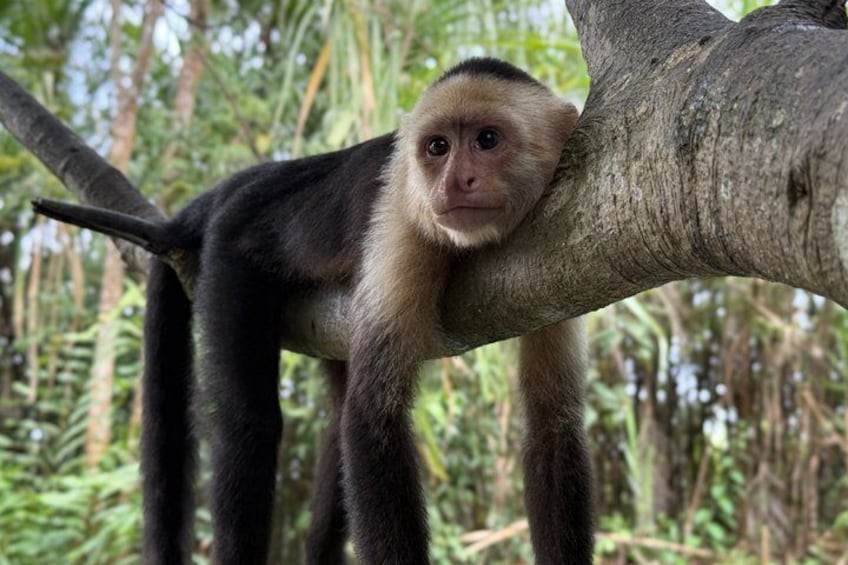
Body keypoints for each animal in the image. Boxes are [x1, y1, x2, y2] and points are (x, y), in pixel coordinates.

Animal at [33, 57, 592, 564]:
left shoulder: (550, 247)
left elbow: (551, 422)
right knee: (251, 423)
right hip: (230, 254)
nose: (454, 182)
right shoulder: (405, 227)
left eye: (487, 140)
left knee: (334, 423)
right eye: (438, 148)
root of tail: (248, 183)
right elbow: (371, 417)